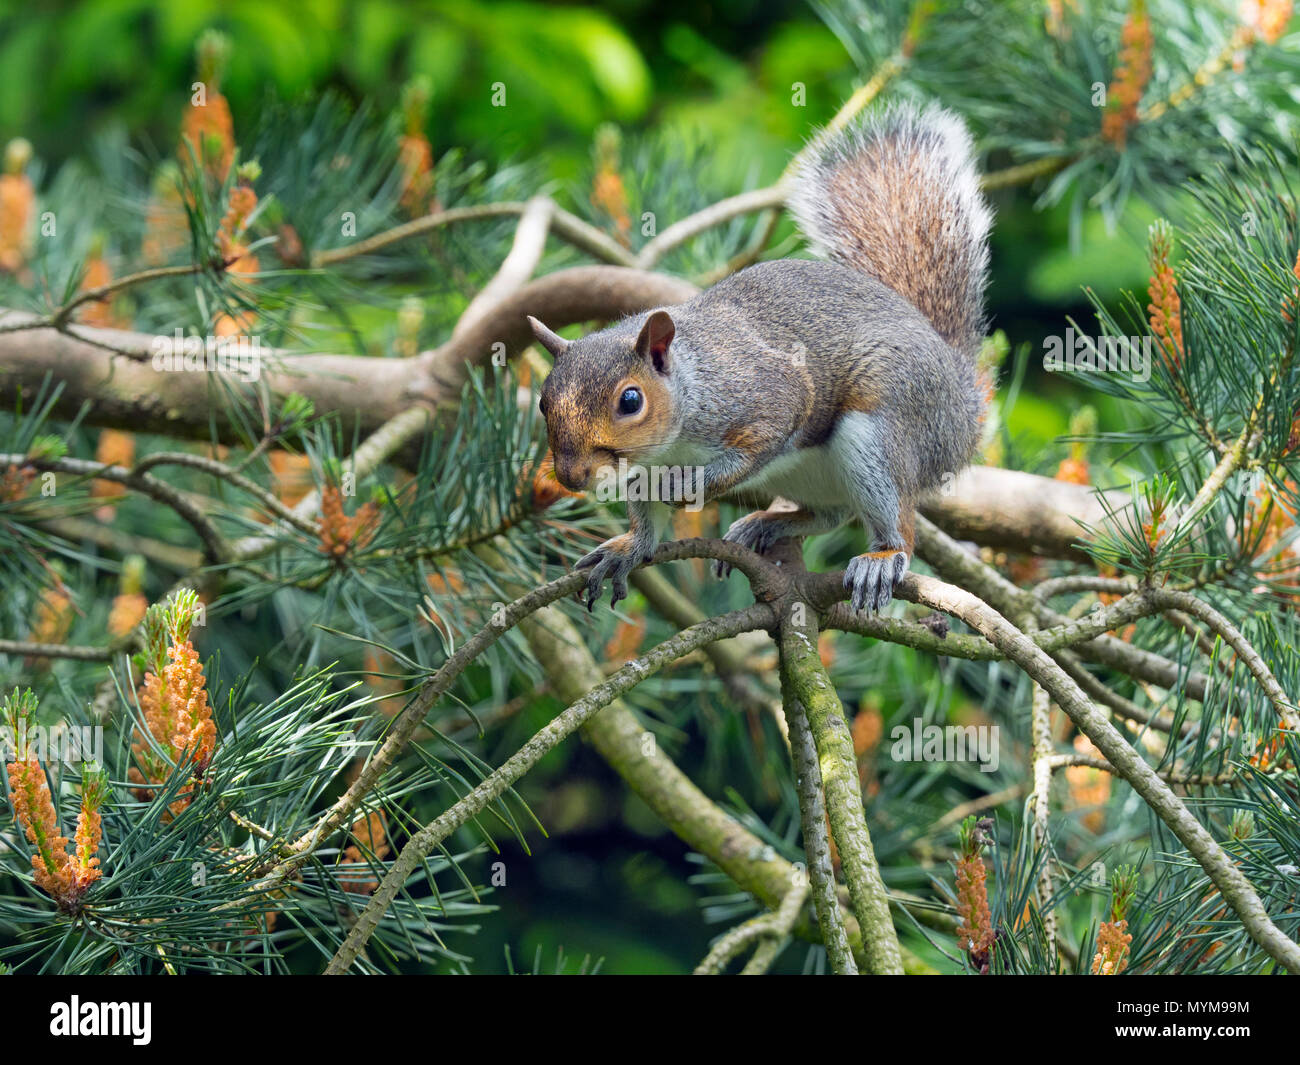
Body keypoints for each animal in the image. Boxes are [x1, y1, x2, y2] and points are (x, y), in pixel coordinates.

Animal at [528, 103, 993, 613]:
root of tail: (963, 407)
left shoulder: (765, 395)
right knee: (831, 513)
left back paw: (883, 557)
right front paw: (629, 548)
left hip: (885, 432)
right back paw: (765, 524)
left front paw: (687, 484)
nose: (571, 476)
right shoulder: (639, 472)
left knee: (895, 515)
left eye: (630, 401)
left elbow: (758, 443)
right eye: (543, 402)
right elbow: (645, 525)